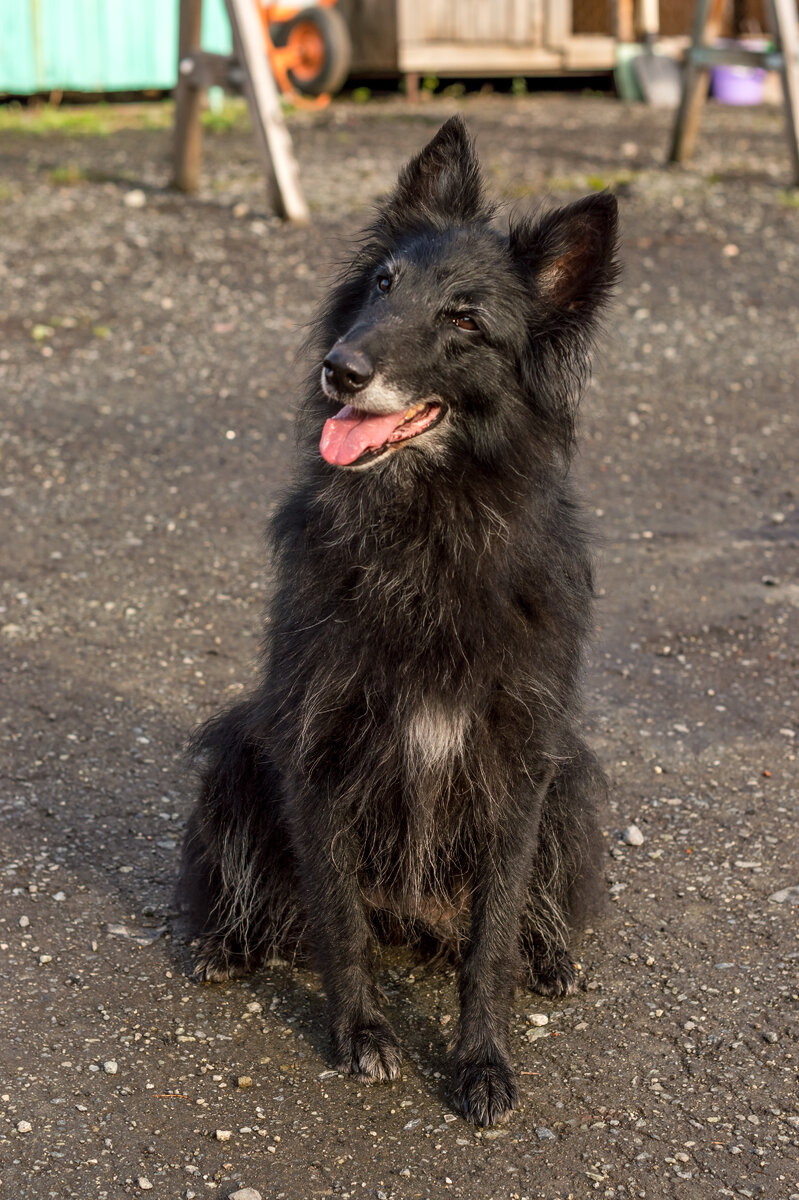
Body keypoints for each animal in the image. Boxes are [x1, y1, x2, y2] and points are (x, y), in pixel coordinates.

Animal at [179, 117, 614, 1128]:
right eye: (382, 285)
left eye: (464, 320)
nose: (340, 368)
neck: (428, 526)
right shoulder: (315, 743)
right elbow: (339, 920)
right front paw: (362, 1035)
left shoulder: (517, 762)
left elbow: (488, 942)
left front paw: (482, 1060)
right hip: (237, 755)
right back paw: (226, 944)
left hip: (570, 775)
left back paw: (553, 956)